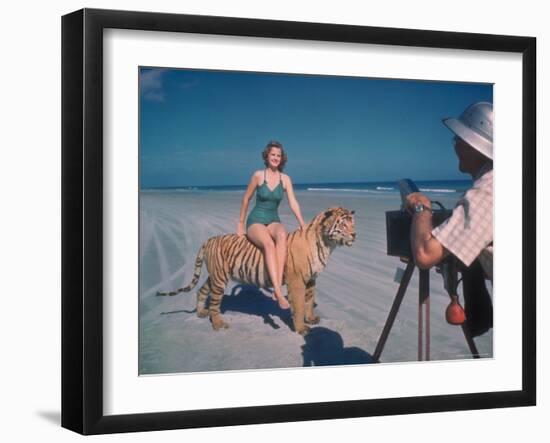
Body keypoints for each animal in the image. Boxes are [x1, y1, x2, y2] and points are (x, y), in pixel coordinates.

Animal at [158, 206, 358, 334]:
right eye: (343, 224)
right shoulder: (297, 281)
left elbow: (309, 301)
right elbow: (300, 305)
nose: (355, 235)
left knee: (201, 290)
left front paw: (311, 319)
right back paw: (218, 324)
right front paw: (301, 328)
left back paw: (201, 313)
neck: (327, 244)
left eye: (353, 223)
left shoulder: (311, 279)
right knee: (215, 303)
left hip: (215, 276)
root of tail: (209, 239)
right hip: (220, 278)